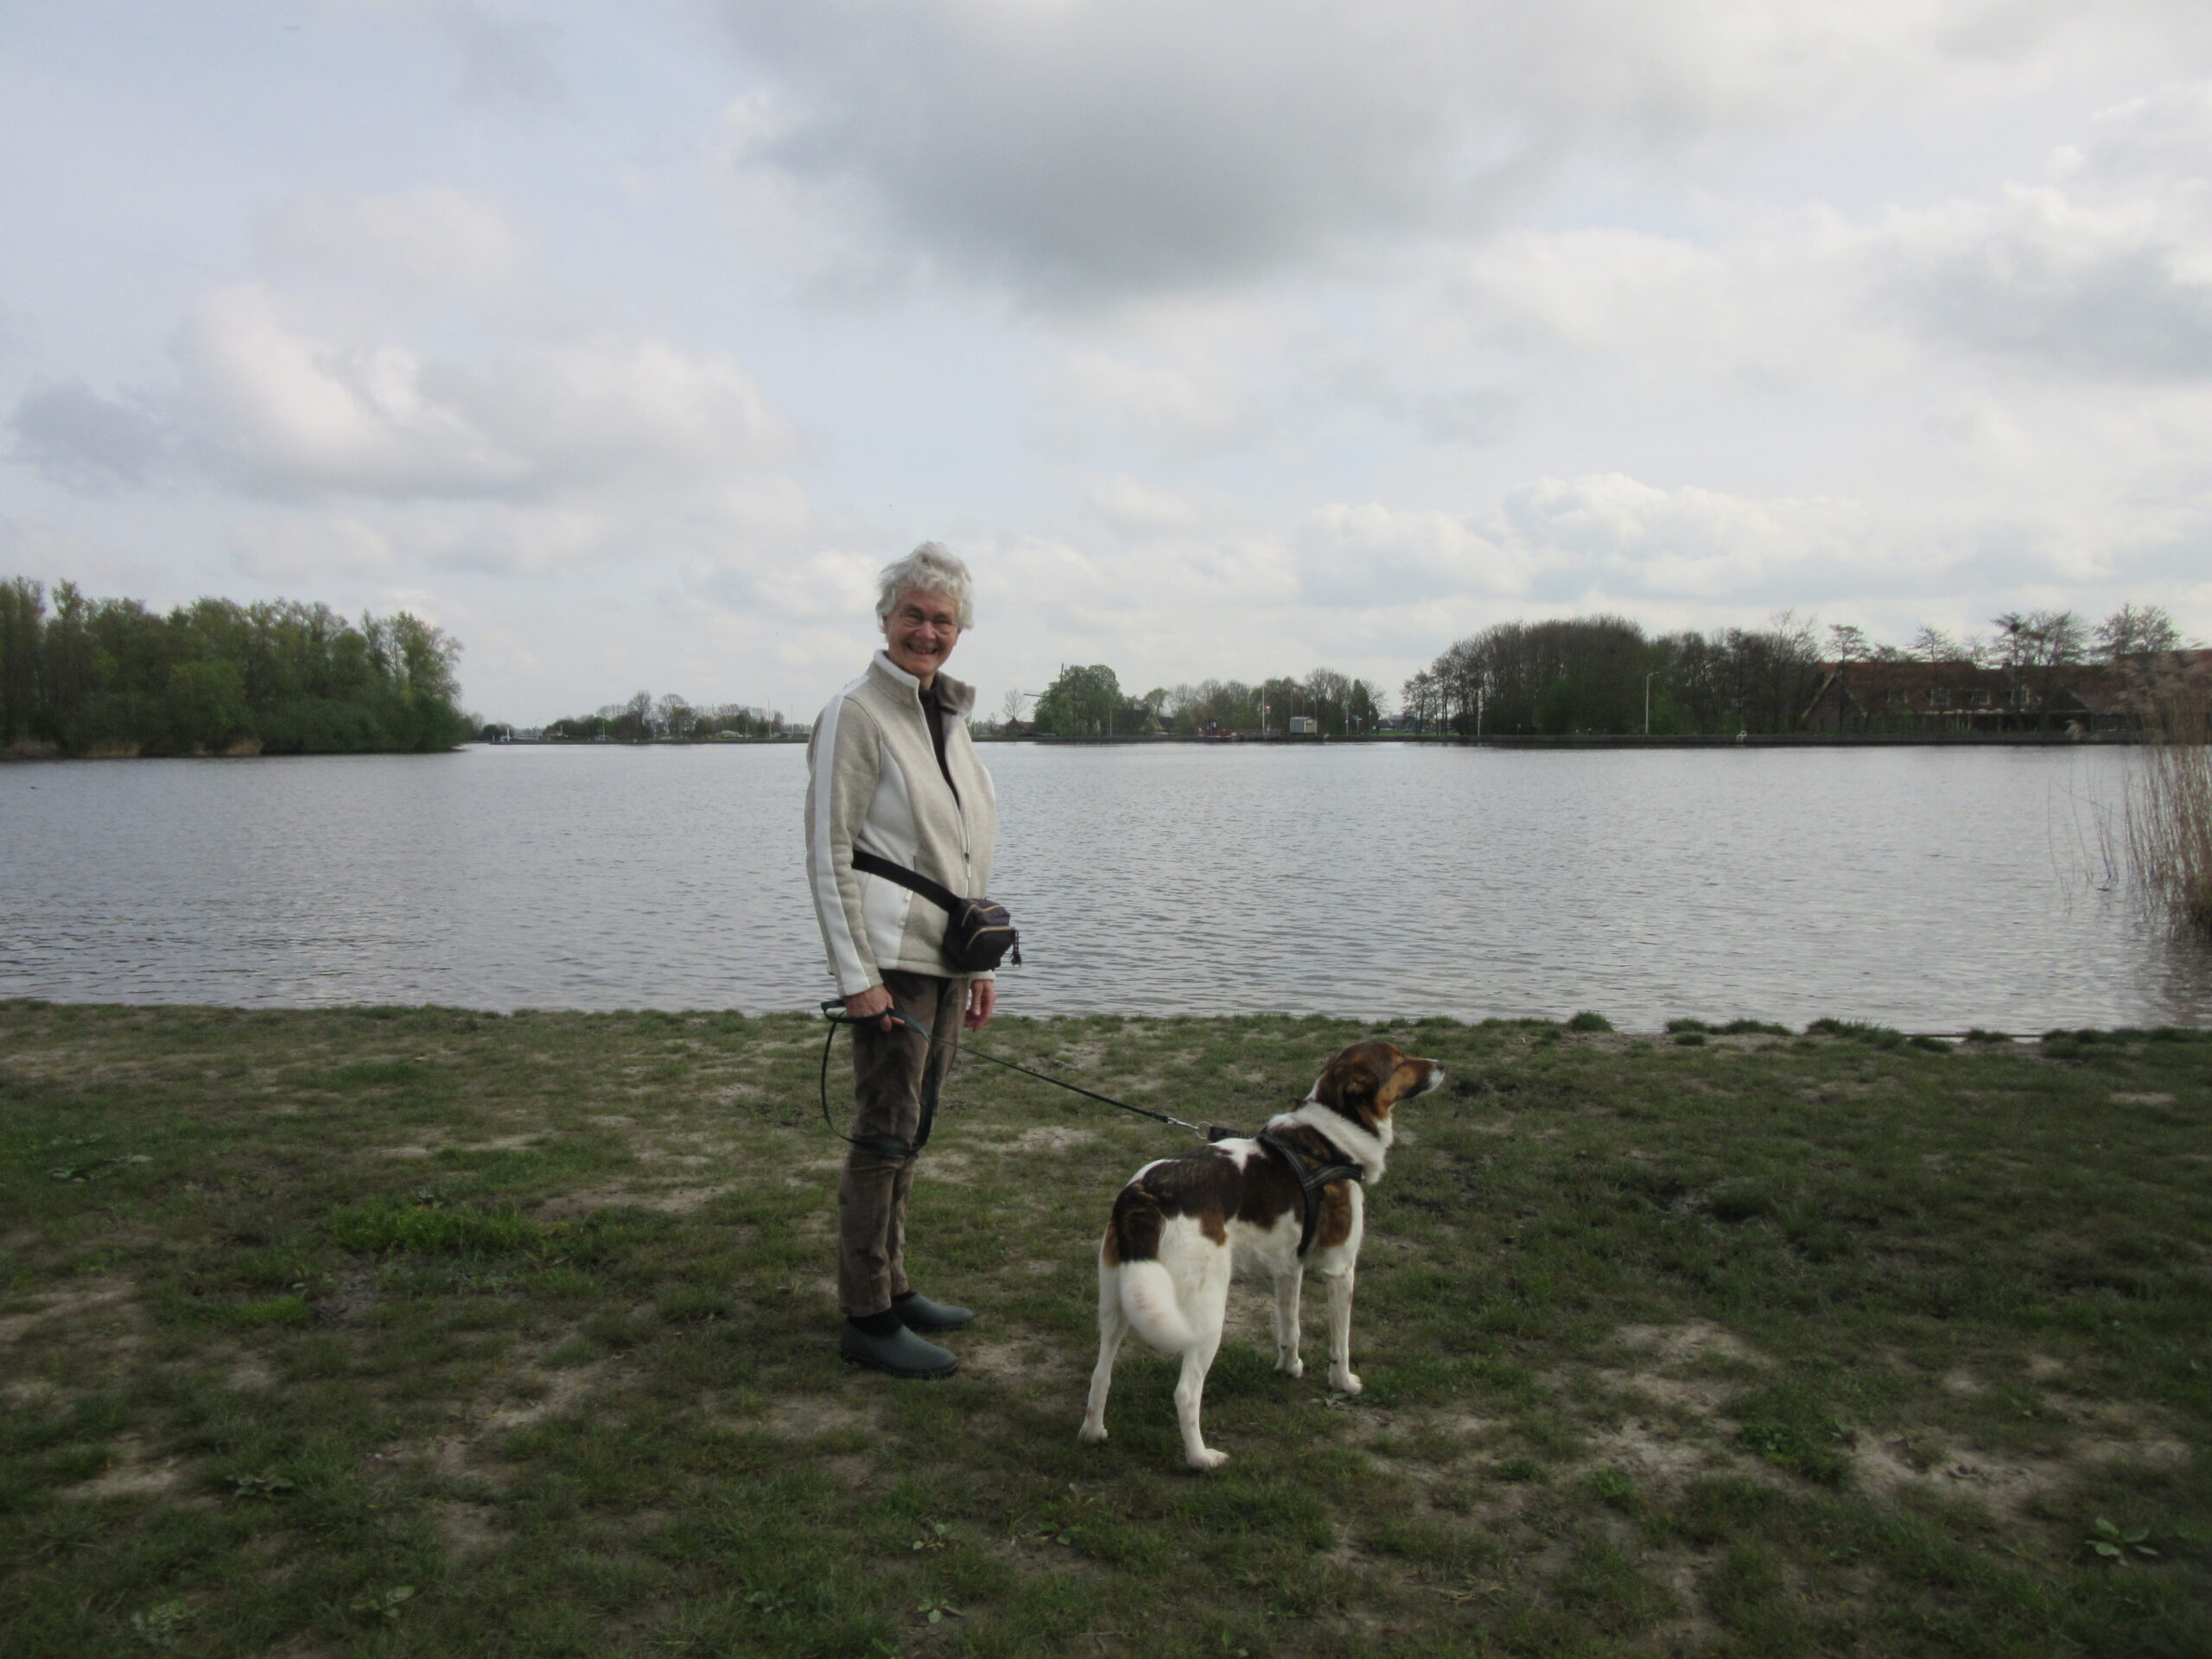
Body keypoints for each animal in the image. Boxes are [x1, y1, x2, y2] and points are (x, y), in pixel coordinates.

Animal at [1075, 1044, 1451, 1478]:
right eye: (1399, 1060)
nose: (1443, 1065)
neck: (1332, 1139)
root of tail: (1144, 1194)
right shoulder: (1341, 1269)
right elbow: (1341, 1343)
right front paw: (1343, 1383)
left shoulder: (1289, 1269)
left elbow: (1291, 1330)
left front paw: (1290, 1369)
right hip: (1206, 1316)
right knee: (1186, 1393)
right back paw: (1201, 1459)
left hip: (1119, 1303)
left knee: (1100, 1374)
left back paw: (1094, 1434)